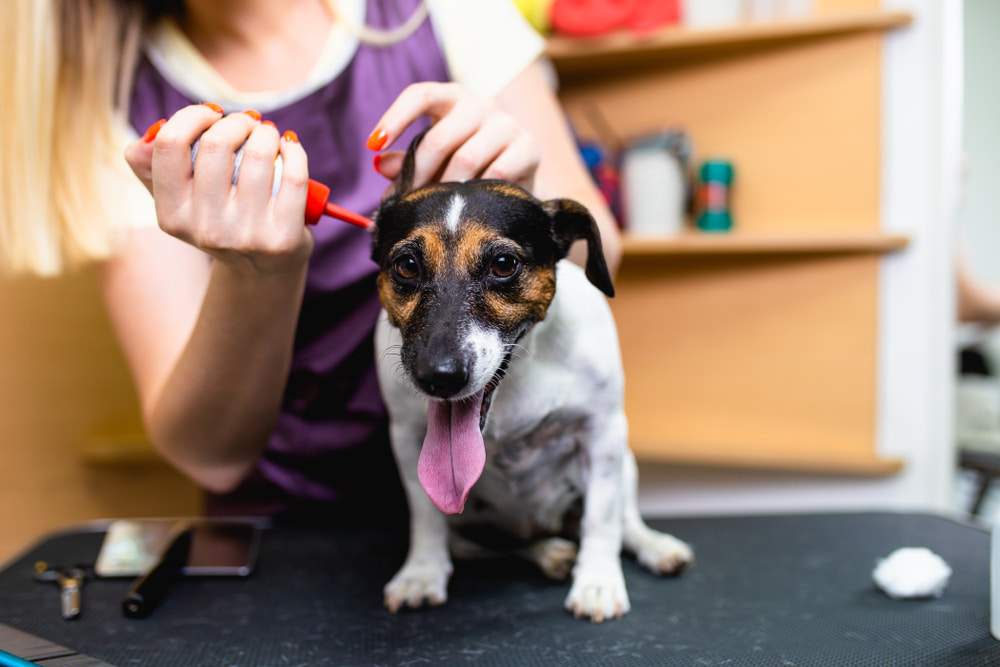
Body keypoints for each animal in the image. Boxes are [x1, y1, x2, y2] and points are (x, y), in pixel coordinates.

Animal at [372, 133, 692, 624]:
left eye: (504, 263)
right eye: (406, 265)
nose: (438, 376)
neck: (515, 378)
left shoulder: (602, 433)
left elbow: (602, 518)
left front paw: (597, 583)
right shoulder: (408, 442)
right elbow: (426, 515)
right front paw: (421, 573)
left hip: (627, 462)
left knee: (624, 519)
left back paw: (652, 545)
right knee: (497, 546)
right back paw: (548, 553)